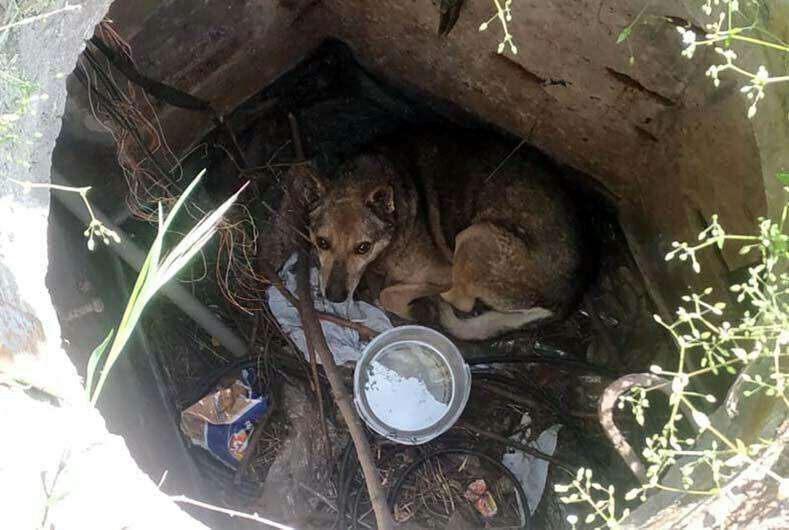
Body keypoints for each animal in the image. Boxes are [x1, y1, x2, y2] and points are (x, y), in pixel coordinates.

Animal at [292, 130, 580, 340]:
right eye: (322, 242)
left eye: (363, 247)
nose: (335, 297)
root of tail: (568, 299)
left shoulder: (442, 271)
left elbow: (389, 294)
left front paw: (413, 307)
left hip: (475, 235)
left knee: (462, 302)